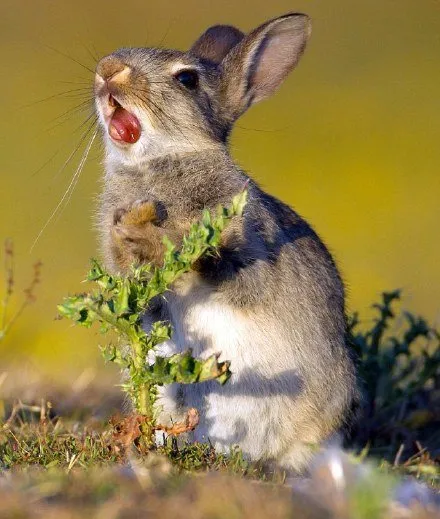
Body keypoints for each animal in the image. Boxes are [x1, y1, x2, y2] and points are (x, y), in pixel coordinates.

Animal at [94, 12, 360, 476]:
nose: (108, 69)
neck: (160, 165)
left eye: (186, 79)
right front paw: (133, 236)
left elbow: (233, 273)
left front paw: (167, 240)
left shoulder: (253, 247)